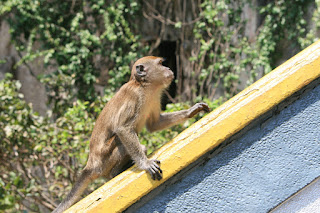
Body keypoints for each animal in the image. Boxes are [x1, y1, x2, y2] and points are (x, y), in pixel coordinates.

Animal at [53, 55, 210, 212]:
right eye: (160, 64)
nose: (168, 68)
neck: (144, 86)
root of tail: (91, 164)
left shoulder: (155, 96)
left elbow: (155, 124)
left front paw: (191, 111)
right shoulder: (134, 96)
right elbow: (122, 128)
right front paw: (145, 164)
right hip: (104, 160)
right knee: (121, 140)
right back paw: (115, 172)